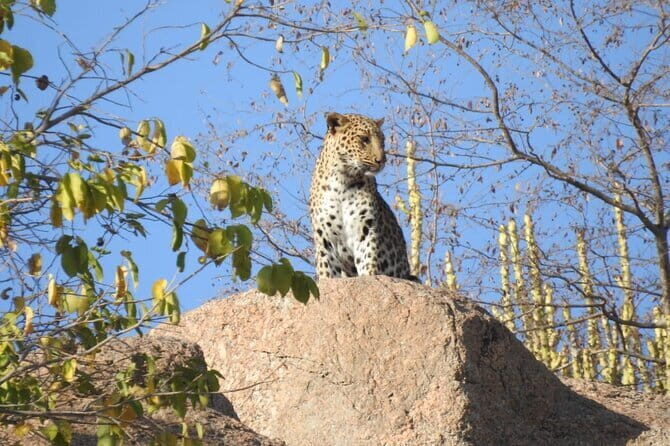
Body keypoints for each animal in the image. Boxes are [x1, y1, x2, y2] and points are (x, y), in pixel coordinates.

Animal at [309, 112, 415, 281]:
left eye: (382, 141)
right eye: (364, 139)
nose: (382, 160)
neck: (342, 179)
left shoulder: (365, 228)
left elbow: (368, 261)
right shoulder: (324, 237)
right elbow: (327, 271)